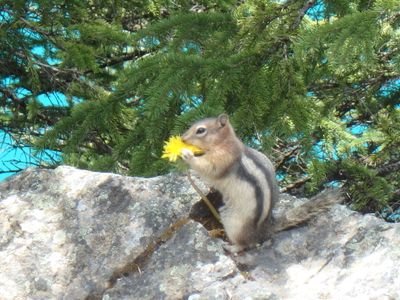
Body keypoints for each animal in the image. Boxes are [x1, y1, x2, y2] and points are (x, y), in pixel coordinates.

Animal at [181, 113, 340, 252]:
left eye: (200, 130)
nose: (182, 139)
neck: (225, 142)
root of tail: (263, 230)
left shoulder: (223, 159)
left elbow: (208, 169)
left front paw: (187, 154)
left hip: (233, 223)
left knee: (246, 244)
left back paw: (231, 247)